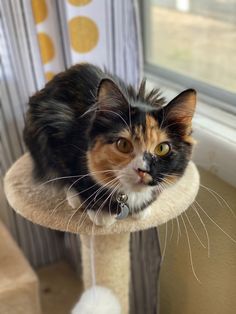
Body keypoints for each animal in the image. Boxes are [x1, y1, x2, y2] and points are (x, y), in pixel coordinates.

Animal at [24, 63, 196, 226]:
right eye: (123, 144)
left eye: (162, 148)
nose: (143, 170)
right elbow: (70, 177)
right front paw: (100, 214)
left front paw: (142, 210)